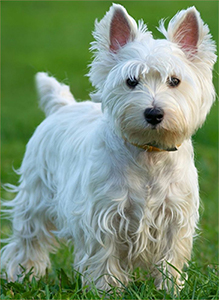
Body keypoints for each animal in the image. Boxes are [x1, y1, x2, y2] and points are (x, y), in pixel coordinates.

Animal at [1, 4, 217, 290]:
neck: (148, 153)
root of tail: (62, 106)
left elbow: (171, 258)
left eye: (174, 81)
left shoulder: (175, 215)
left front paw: (171, 288)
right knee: (28, 239)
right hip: (35, 195)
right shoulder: (103, 215)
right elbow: (105, 256)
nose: (154, 113)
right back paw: (21, 275)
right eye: (131, 81)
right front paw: (107, 289)